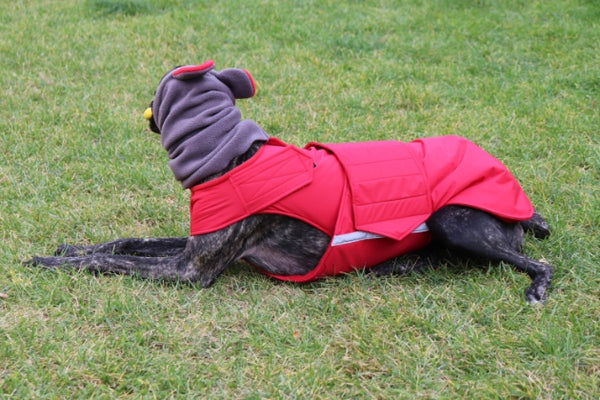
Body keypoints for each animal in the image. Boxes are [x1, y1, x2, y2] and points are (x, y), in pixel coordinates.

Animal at [27, 61, 552, 302]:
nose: (146, 115)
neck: (234, 156)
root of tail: (526, 210)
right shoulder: (194, 244)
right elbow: (123, 242)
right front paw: (70, 248)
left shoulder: (190, 270)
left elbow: (109, 262)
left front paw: (54, 263)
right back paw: (401, 264)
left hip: (453, 220)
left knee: (539, 263)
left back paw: (535, 289)